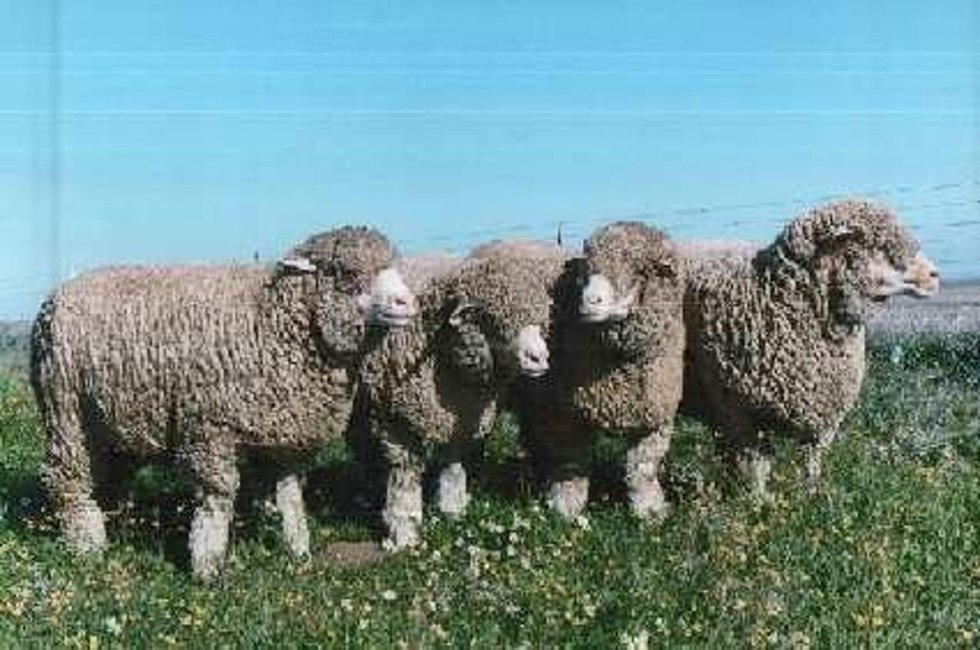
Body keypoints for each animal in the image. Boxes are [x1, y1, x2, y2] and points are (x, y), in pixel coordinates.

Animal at [30, 226, 416, 580]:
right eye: (346, 272)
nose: (407, 303)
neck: (270, 323)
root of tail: (57, 294)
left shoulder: (286, 435)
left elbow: (290, 494)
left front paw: (299, 551)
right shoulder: (208, 429)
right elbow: (218, 495)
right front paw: (207, 563)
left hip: (113, 425)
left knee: (109, 475)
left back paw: (112, 526)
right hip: (66, 412)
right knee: (68, 478)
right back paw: (87, 547)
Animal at [355, 240, 566, 550]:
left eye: (541, 322)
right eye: (493, 318)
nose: (539, 359)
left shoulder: (462, 417)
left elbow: (454, 465)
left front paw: (452, 510)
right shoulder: (394, 421)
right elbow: (404, 475)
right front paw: (404, 531)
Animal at [515, 222, 686, 520]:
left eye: (639, 268)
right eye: (587, 271)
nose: (589, 301)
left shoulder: (656, 414)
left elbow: (642, 467)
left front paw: (649, 510)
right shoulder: (563, 414)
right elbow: (569, 465)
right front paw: (565, 508)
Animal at [680, 199, 940, 498]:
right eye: (882, 249)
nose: (935, 276)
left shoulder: (822, 410)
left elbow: (811, 461)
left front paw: (812, 496)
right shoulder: (736, 412)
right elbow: (755, 468)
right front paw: (757, 503)